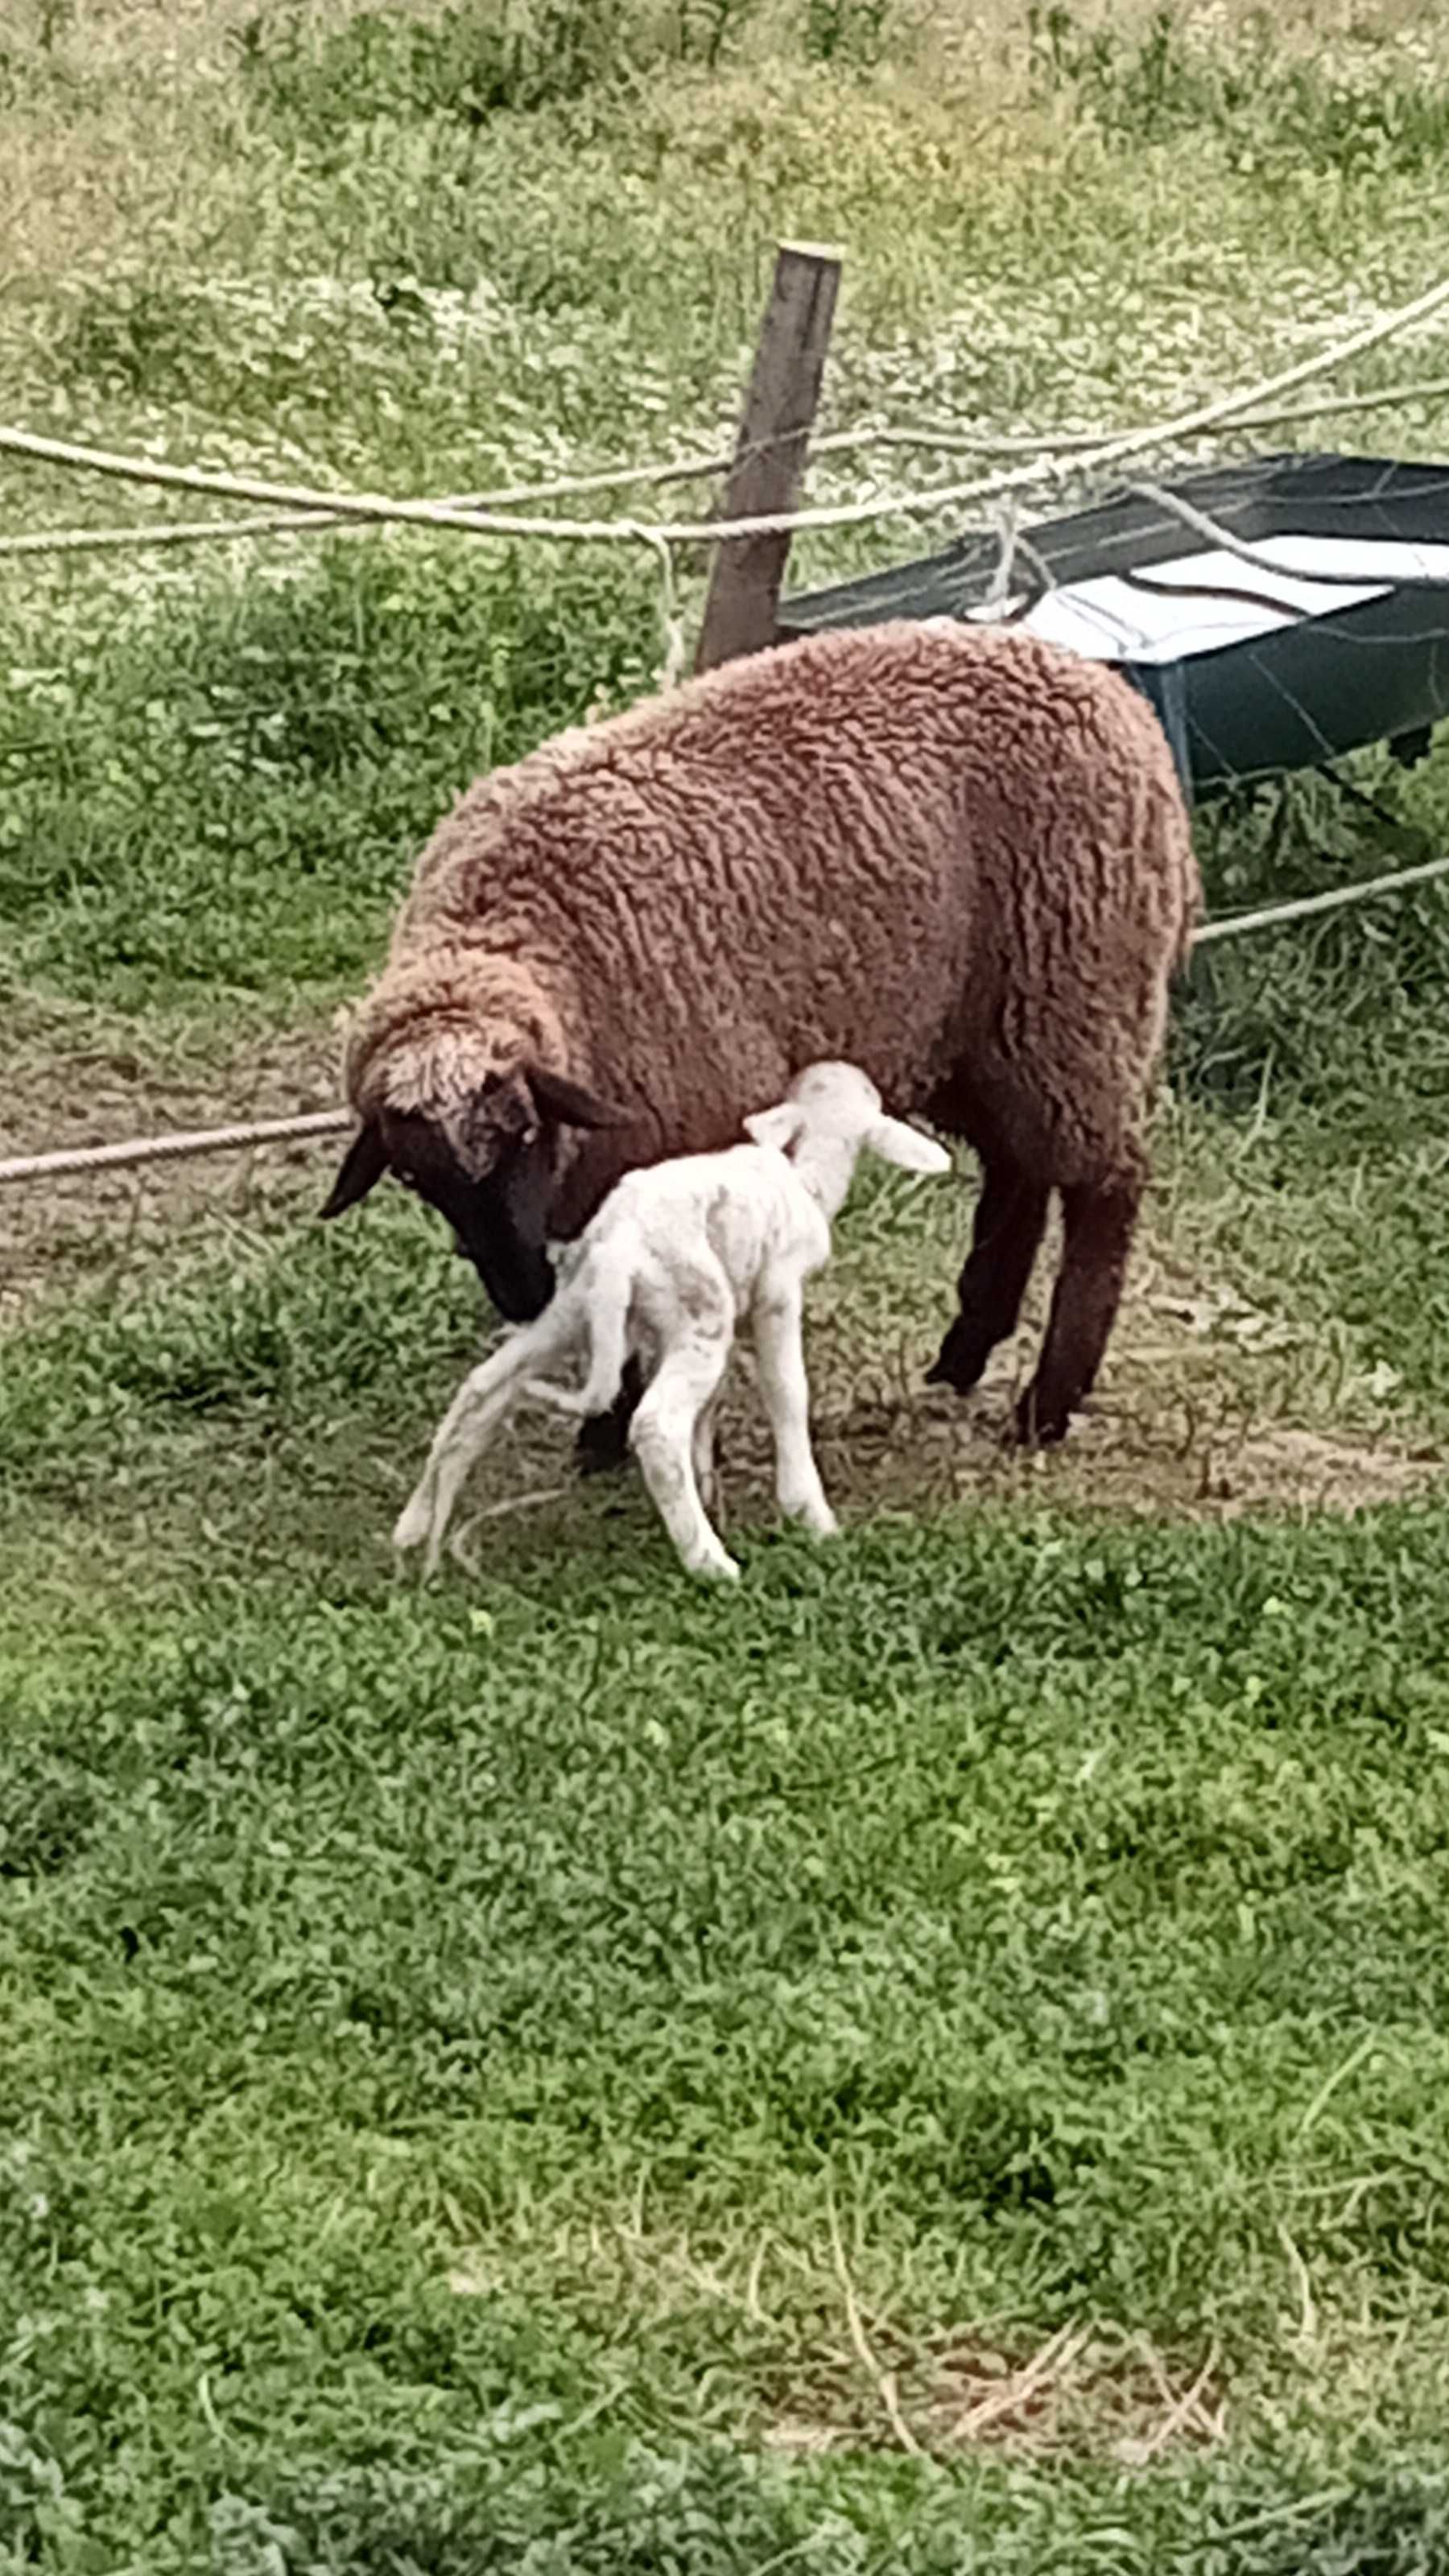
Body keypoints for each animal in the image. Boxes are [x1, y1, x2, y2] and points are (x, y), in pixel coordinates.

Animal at [327, 618, 1196, 1452]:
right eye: (413, 1176)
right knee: (1019, 1167)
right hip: (981, 1030)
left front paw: (619, 1428)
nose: (521, 1294)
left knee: (1104, 1185)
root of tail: (1116, 698)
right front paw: (605, 1424)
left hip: (1074, 996)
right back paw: (967, 1348)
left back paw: (1047, 1402)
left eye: (523, 1132)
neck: (535, 936)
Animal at [386, 1056, 948, 1576]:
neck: (805, 1178)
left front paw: (706, 1478)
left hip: (577, 1308)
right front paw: (810, 1512)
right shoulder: (777, 1294)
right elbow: (787, 1391)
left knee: (483, 1387)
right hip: (699, 1313)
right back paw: (710, 1563)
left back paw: (415, 1525)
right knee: (656, 1426)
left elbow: (713, 1403)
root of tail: (619, 1246)